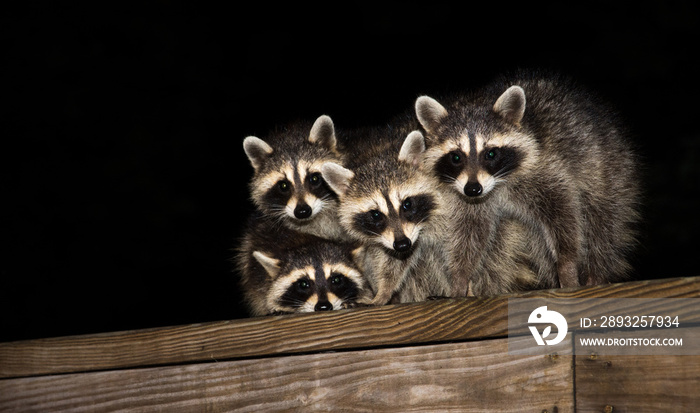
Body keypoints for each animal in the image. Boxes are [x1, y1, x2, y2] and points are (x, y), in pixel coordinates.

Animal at [324, 117, 454, 304]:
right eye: (375, 214)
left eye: (407, 204)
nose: (402, 244)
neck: (377, 153)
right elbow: (393, 261)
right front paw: (384, 291)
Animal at [416, 72, 640, 294]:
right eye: (456, 157)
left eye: (490, 154)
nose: (473, 189)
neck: (497, 184)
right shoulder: (469, 199)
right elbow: (470, 233)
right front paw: (461, 277)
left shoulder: (544, 168)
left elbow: (563, 214)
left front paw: (566, 263)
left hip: (608, 170)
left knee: (601, 222)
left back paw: (596, 271)